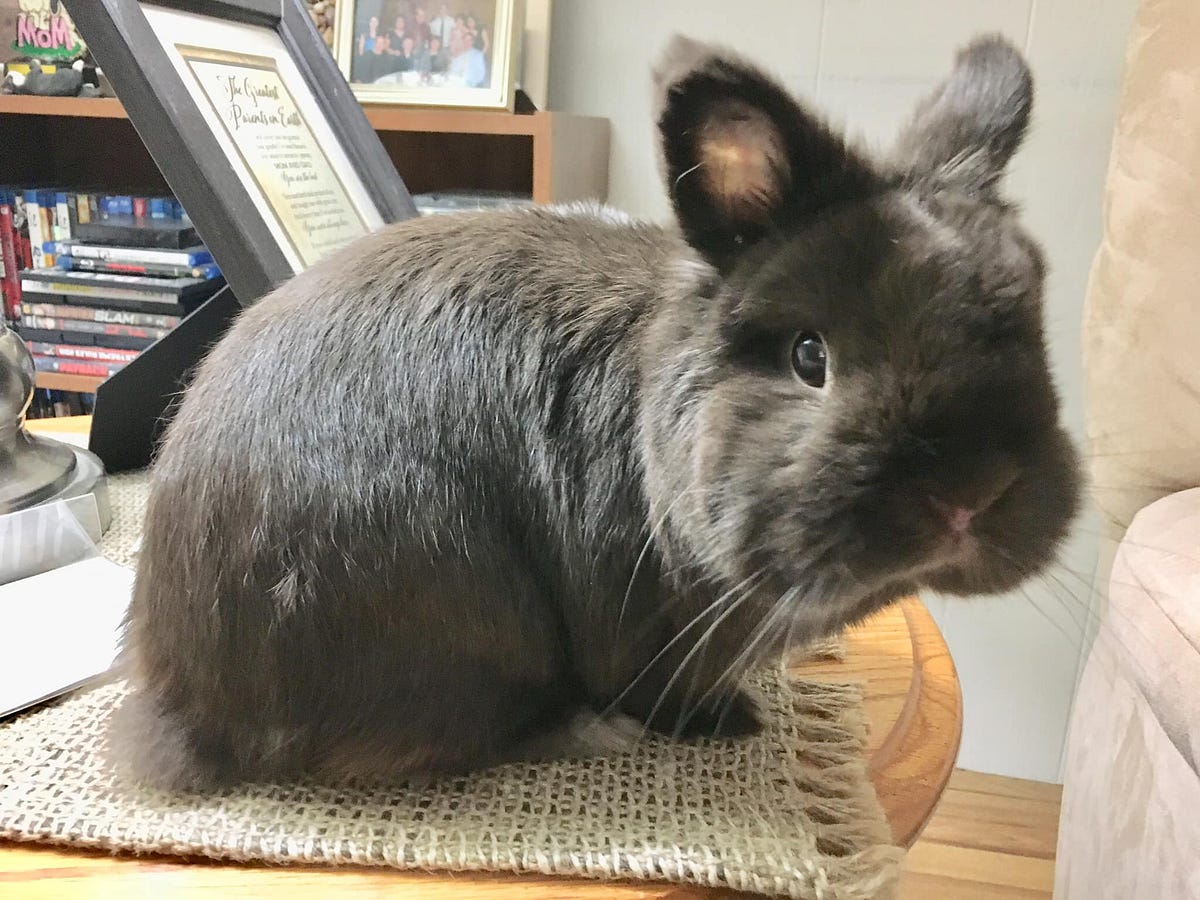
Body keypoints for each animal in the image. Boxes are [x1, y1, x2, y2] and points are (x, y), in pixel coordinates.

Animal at [114, 33, 1081, 790]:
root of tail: (180, 705)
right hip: (466, 616)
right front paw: (725, 722)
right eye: (812, 357)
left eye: (1031, 324)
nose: (971, 496)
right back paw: (587, 732)